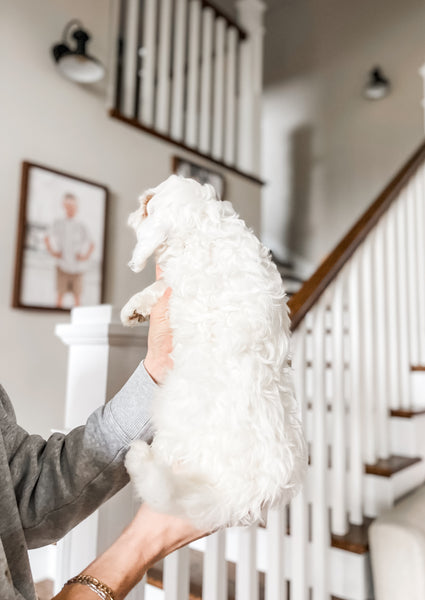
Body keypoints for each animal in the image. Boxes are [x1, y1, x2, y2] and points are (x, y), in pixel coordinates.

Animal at [121, 175, 306, 528]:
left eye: (148, 205)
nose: (133, 208)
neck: (204, 225)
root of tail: (241, 496)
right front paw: (135, 309)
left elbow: (160, 285)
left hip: (173, 419)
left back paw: (140, 461)